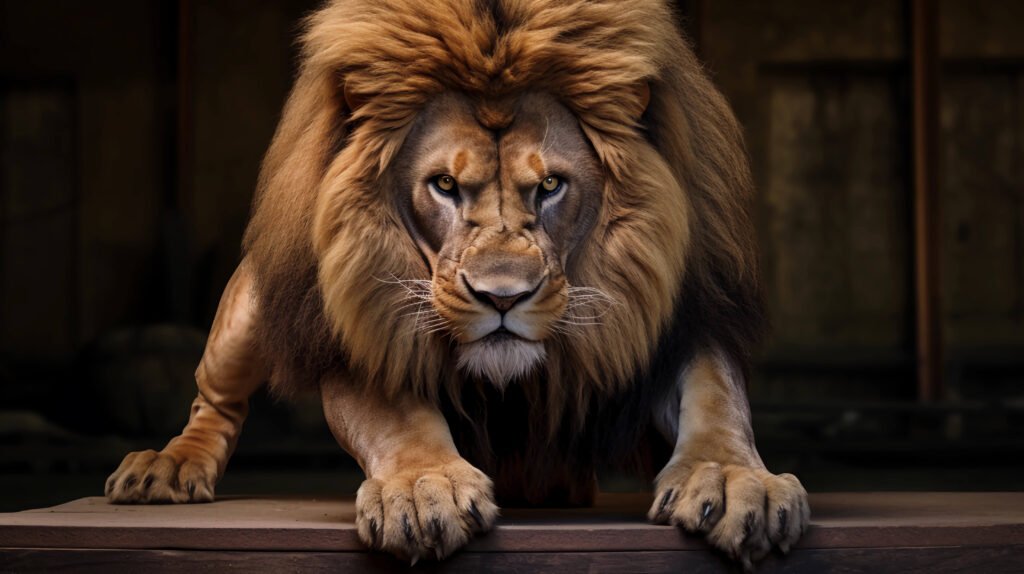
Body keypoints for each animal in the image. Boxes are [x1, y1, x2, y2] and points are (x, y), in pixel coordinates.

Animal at [105, 0, 809, 568]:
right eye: (444, 184)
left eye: (550, 185)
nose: (502, 297)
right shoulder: (366, 324)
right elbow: (399, 417)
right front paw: (425, 490)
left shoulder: (682, 317)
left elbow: (717, 395)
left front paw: (731, 481)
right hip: (255, 303)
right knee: (215, 398)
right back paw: (163, 466)